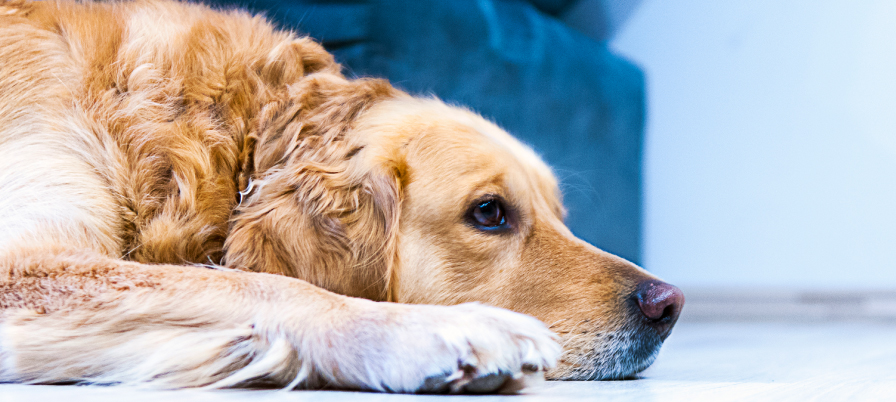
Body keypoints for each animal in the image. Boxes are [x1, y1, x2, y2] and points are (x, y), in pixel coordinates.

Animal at [0, 0, 684, 394]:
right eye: (490, 213)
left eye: (561, 217)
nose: (669, 305)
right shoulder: (21, 264)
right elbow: (257, 284)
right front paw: (437, 331)